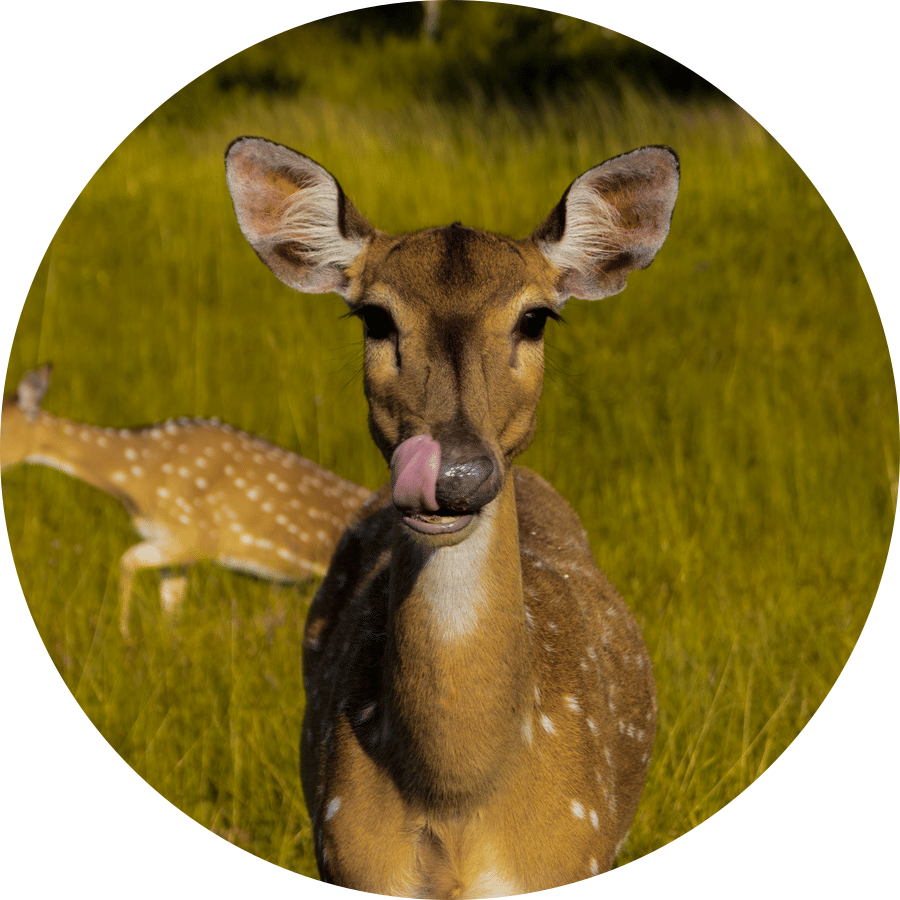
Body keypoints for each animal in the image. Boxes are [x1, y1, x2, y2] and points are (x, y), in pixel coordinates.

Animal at [1, 364, 372, 639]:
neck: (134, 480)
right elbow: (170, 609)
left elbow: (126, 561)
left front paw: (122, 637)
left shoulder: (198, 536)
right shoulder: (173, 547)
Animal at [225, 136, 678, 895]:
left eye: (535, 317)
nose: (455, 472)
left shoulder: (577, 846)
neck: (457, 795)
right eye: (375, 316)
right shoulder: (344, 850)